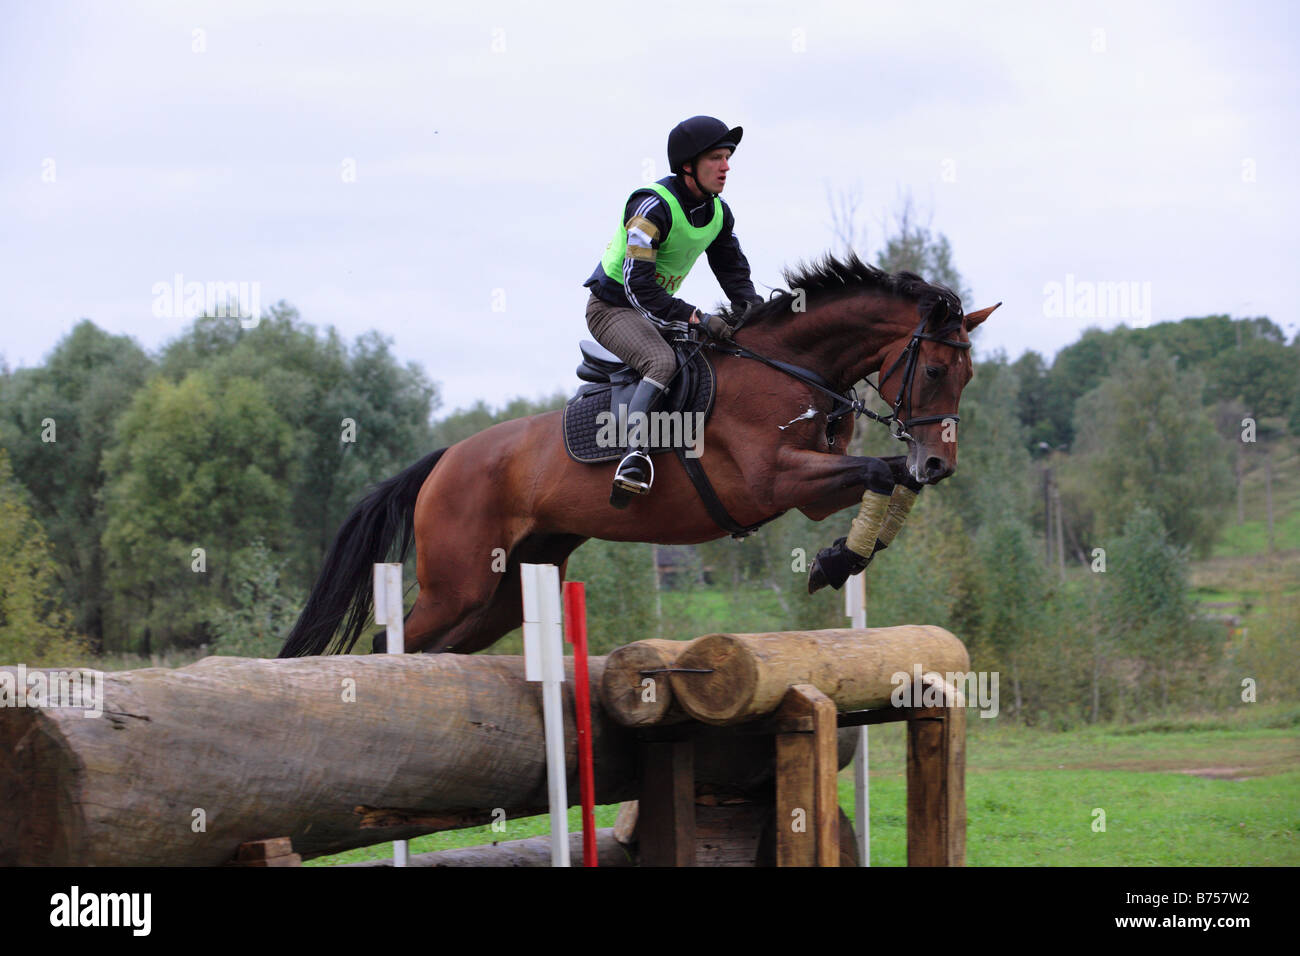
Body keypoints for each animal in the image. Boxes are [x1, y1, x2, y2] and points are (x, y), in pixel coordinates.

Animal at [278, 253, 998, 657]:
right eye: (936, 370)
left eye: (967, 377)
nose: (941, 463)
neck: (790, 366)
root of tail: (445, 459)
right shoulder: (774, 482)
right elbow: (879, 469)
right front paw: (837, 562)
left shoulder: (815, 492)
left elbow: (892, 477)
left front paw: (845, 554)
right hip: (458, 584)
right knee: (389, 639)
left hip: (505, 588)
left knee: (448, 646)